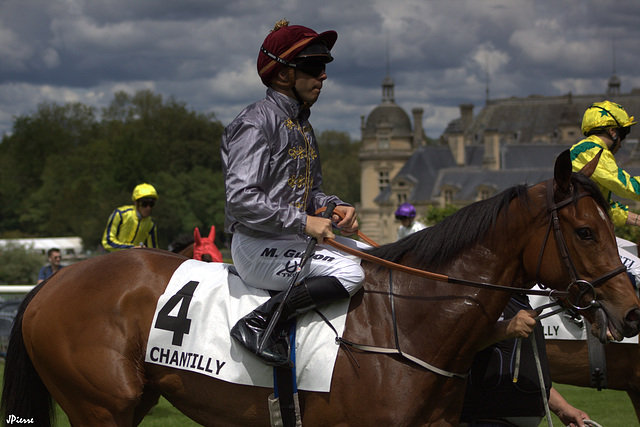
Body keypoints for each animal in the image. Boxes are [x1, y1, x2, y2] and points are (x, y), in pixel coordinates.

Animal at [3, 152, 640, 426]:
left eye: (610, 228)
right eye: (586, 231)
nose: (632, 313)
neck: (408, 326)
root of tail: (53, 283)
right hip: (99, 407)